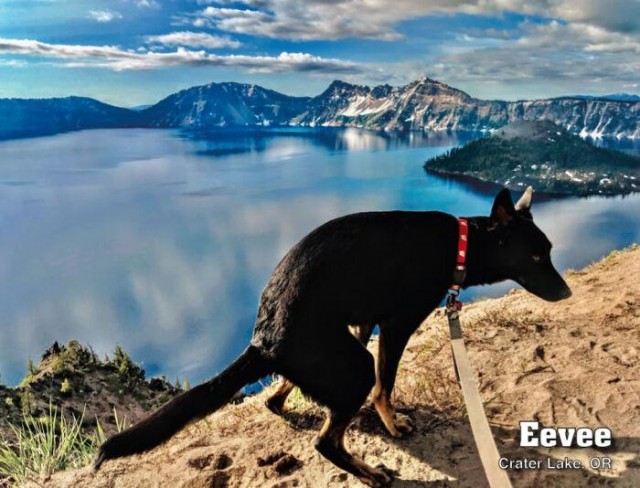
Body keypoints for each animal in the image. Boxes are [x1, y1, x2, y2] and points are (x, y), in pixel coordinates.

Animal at [94, 186, 568, 484]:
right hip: (352, 362)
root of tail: (264, 337)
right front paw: (392, 423)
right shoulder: (397, 323)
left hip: (337, 349)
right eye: (535, 256)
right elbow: (385, 384)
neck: (460, 245)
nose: (566, 292)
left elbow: (380, 381)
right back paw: (370, 472)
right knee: (326, 439)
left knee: (279, 400)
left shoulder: (364, 321)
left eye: (548, 252)